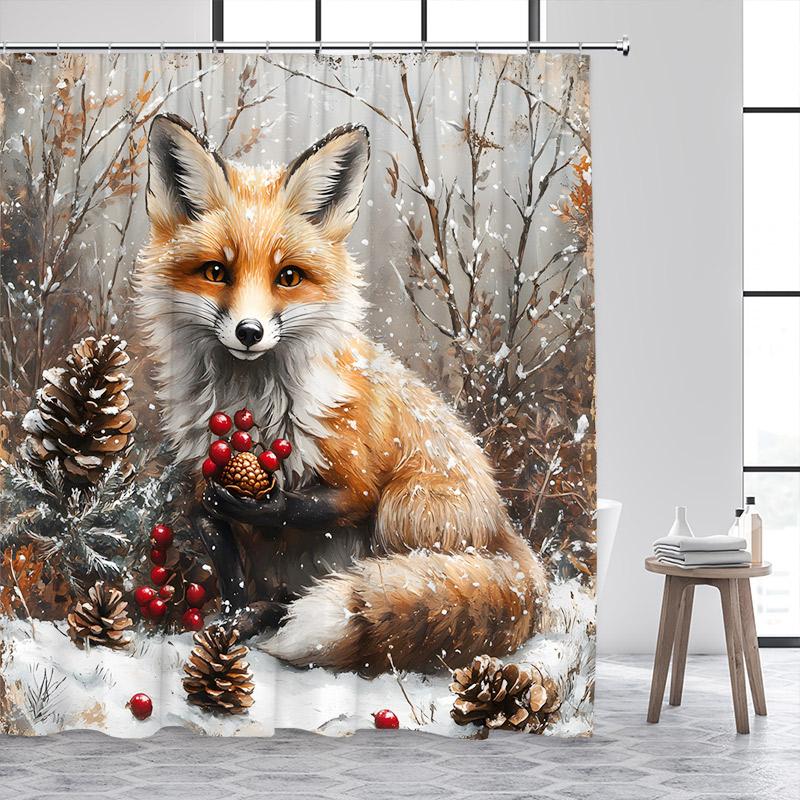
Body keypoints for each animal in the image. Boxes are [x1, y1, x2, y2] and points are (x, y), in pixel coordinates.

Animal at [135, 113, 549, 675]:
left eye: (288, 276)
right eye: (216, 272)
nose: (249, 332)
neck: (253, 406)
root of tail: (506, 530)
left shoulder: (357, 473)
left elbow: (316, 502)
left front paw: (266, 508)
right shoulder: (202, 488)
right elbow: (228, 566)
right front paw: (233, 623)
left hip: (406, 506)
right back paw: (270, 611)